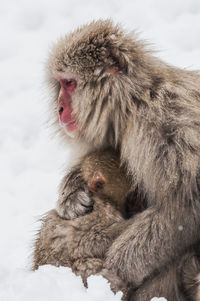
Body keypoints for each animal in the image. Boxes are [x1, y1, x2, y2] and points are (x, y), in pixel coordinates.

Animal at [46, 19, 200, 298]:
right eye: (60, 84)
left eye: (69, 83)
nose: (60, 109)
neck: (134, 102)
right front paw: (72, 193)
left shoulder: (166, 126)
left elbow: (184, 206)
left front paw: (116, 272)